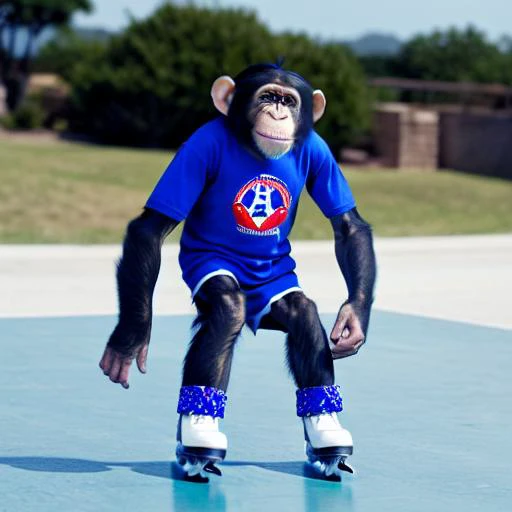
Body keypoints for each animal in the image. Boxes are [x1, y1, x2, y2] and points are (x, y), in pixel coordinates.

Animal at [98, 63, 376, 480]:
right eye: (267, 96)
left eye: (288, 100)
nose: (277, 113)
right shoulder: (199, 148)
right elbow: (150, 230)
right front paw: (129, 339)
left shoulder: (320, 151)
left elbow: (347, 226)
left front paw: (352, 321)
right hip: (209, 275)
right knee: (228, 309)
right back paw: (198, 436)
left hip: (274, 286)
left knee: (301, 314)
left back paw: (326, 436)